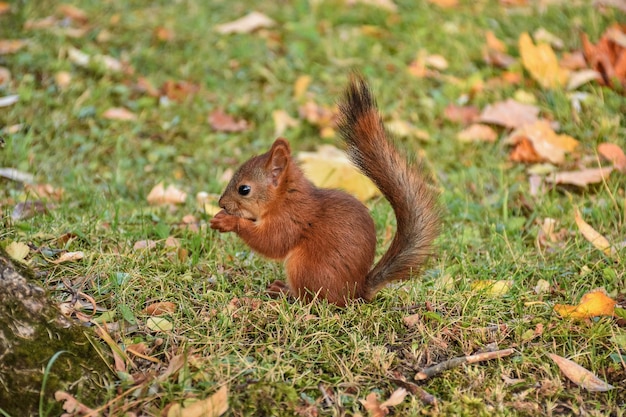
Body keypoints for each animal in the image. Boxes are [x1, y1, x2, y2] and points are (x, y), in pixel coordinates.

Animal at [210, 75, 438, 306]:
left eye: (244, 189)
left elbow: (272, 243)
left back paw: (285, 292)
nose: (221, 203)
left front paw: (227, 221)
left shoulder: (291, 220)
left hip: (304, 267)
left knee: (311, 299)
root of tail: (355, 293)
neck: (285, 198)